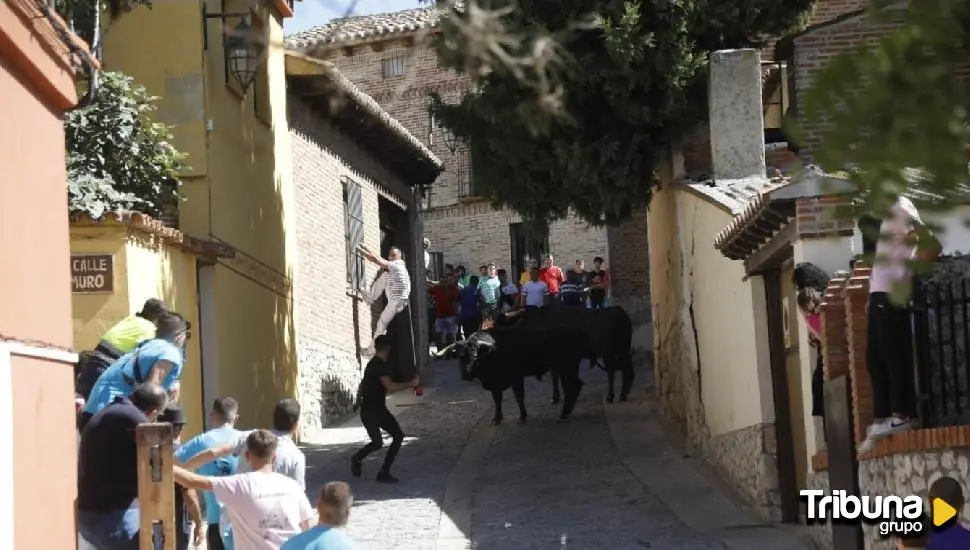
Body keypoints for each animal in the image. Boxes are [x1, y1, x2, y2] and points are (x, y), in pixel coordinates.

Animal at [448, 306, 632, 426]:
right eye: (460, 356)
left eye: (475, 354)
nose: (466, 375)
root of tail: (618, 310)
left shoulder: (518, 375)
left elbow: (521, 394)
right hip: (617, 352)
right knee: (624, 371)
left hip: (604, 354)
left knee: (608, 374)